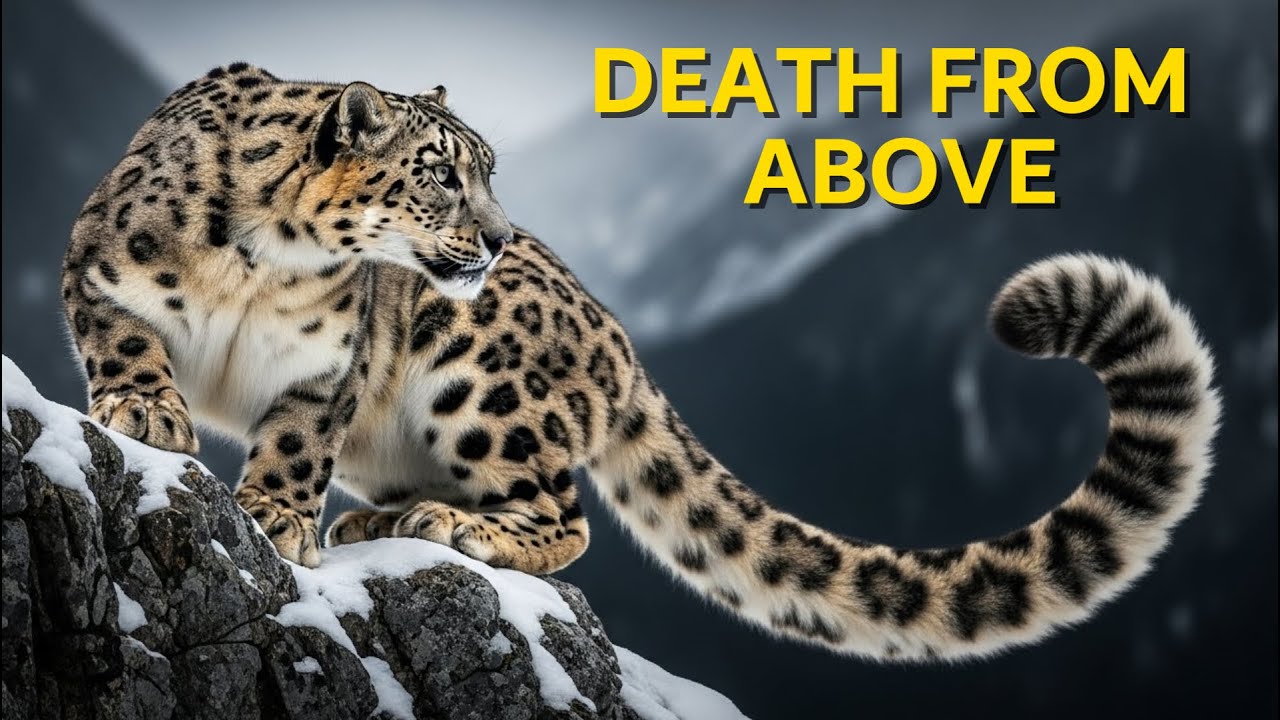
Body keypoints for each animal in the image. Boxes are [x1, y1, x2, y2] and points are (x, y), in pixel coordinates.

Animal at [61, 62, 1221, 661]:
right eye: (438, 173)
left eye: (489, 169)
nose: (494, 238)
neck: (265, 264)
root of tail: (613, 338)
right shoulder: (98, 265)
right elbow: (124, 336)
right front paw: (149, 410)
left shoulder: (326, 368)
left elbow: (297, 446)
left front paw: (272, 520)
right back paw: (384, 521)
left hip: (478, 383)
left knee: (561, 513)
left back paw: (443, 525)